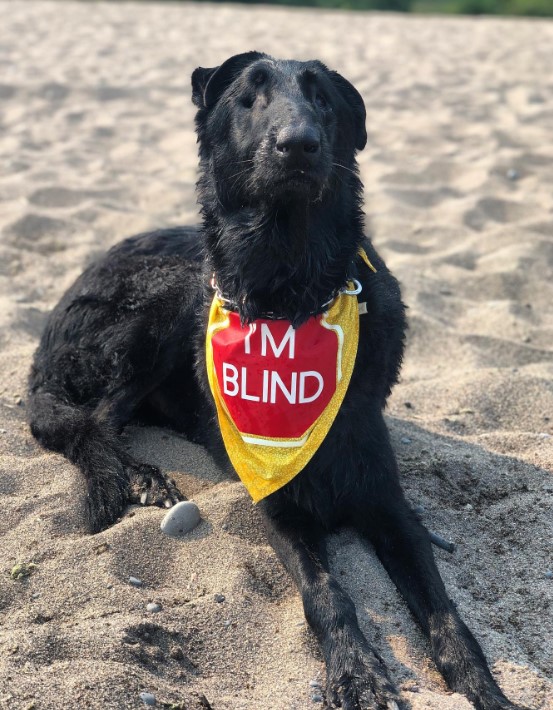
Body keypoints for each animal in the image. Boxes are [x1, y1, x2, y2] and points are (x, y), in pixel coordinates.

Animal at [29, 52, 520, 708]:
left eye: (324, 102)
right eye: (250, 96)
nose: (299, 144)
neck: (292, 295)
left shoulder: (390, 507)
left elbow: (446, 614)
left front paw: (482, 688)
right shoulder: (281, 508)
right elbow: (328, 596)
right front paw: (358, 673)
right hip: (163, 301)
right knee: (98, 417)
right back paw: (141, 475)